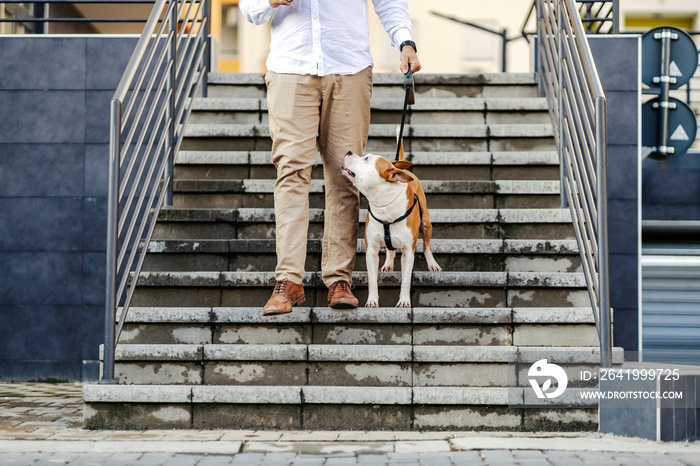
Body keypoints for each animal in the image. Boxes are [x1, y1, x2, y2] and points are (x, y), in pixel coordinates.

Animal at [340, 150, 442, 310]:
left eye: (366, 159)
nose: (349, 152)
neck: (383, 203)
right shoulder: (372, 250)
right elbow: (372, 280)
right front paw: (372, 301)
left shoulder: (408, 252)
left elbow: (406, 280)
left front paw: (404, 301)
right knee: (390, 249)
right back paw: (388, 264)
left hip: (426, 223)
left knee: (427, 246)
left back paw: (433, 264)